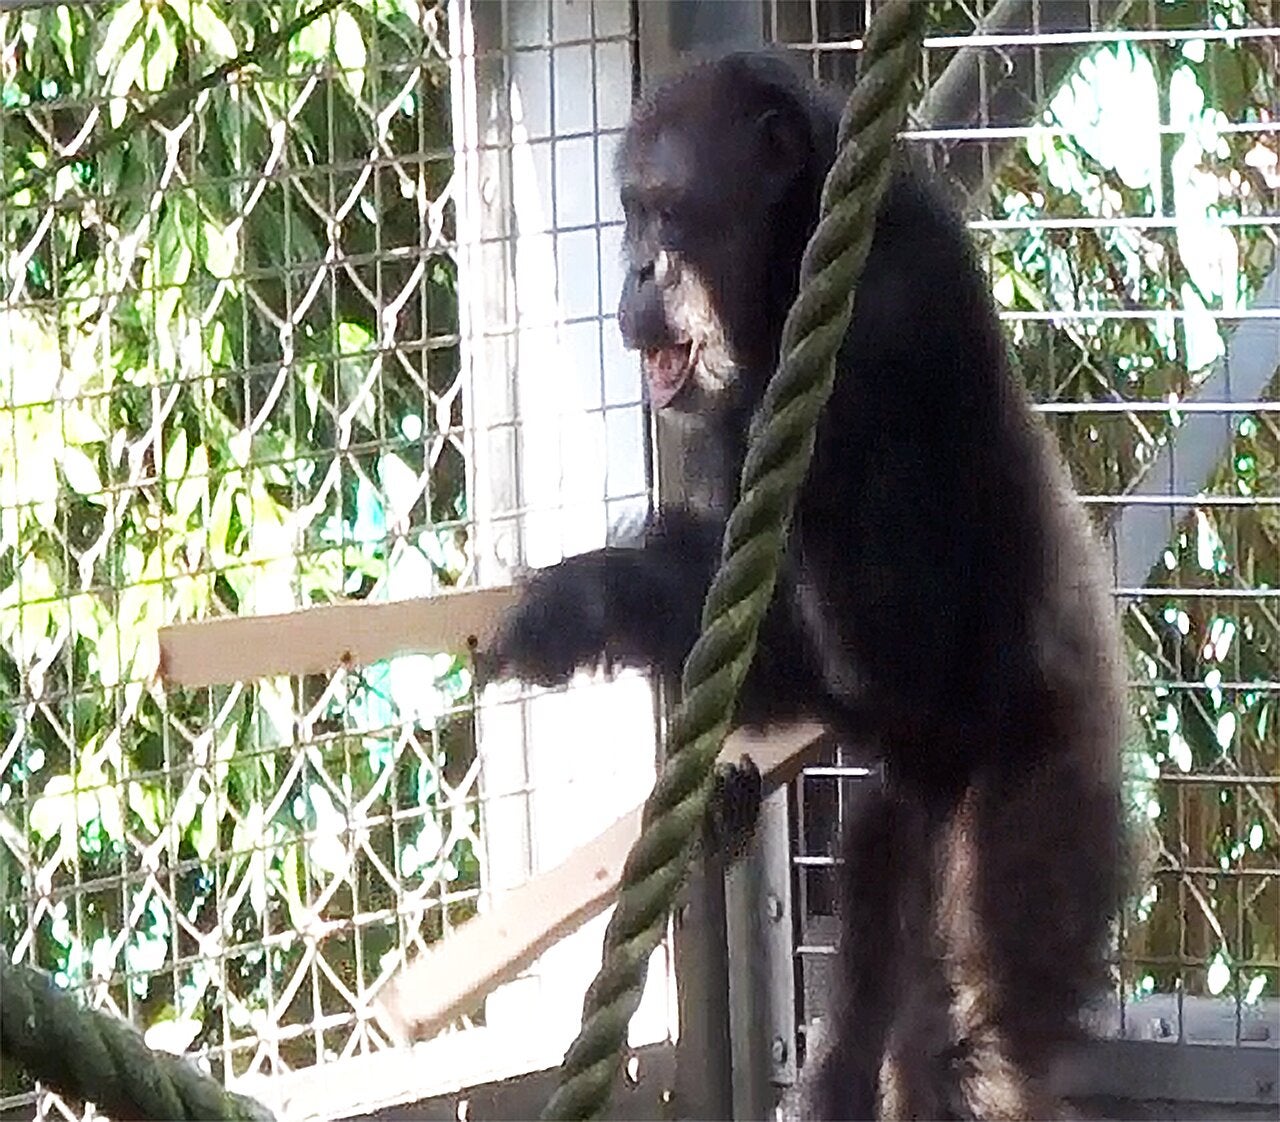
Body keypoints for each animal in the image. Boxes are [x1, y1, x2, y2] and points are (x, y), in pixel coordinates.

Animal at [482, 51, 1128, 1120]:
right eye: (630, 213)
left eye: (669, 214)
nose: (638, 267)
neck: (790, 267)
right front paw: (585, 605)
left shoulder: (889, 319)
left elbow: (901, 653)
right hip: (905, 824)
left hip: (1044, 812)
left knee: (977, 1035)